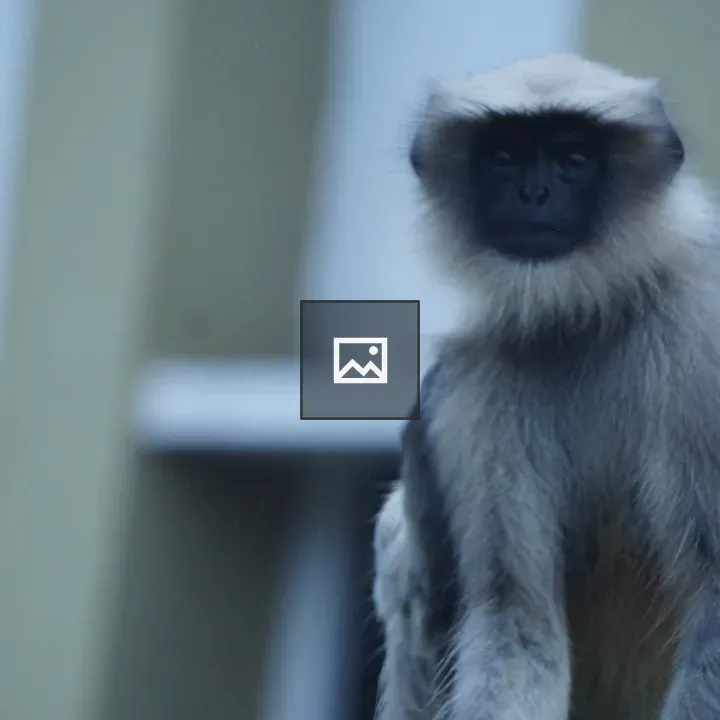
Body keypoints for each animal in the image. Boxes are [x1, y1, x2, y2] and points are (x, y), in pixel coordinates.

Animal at [371, 53, 720, 720]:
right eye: (505, 156)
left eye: (573, 159)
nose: (534, 195)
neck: (589, 317)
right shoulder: (476, 391)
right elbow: (516, 617)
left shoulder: (702, 341)